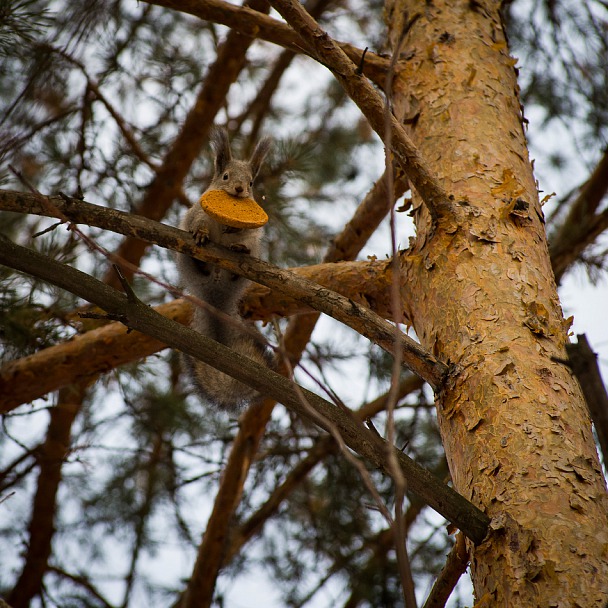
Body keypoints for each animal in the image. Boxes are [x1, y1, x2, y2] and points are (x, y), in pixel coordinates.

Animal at [177, 128, 274, 414]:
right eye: (226, 176)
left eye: (251, 183)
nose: (240, 189)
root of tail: (216, 293)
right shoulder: (197, 213)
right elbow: (199, 223)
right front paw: (202, 233)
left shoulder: (253, 231)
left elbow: (244, 230)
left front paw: (235, 233)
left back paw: (239, 253)